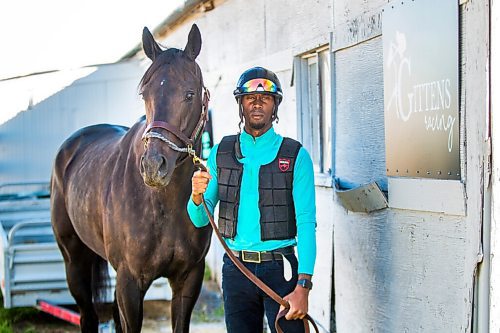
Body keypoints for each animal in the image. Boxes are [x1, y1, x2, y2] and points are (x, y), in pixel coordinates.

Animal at [50, 24, 213, 330]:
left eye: (190, 94)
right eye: (144, 94)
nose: (153, 166)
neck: (163, 204)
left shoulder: (189, 279)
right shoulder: (130, 282)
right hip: (74, 261)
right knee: (88, 315)